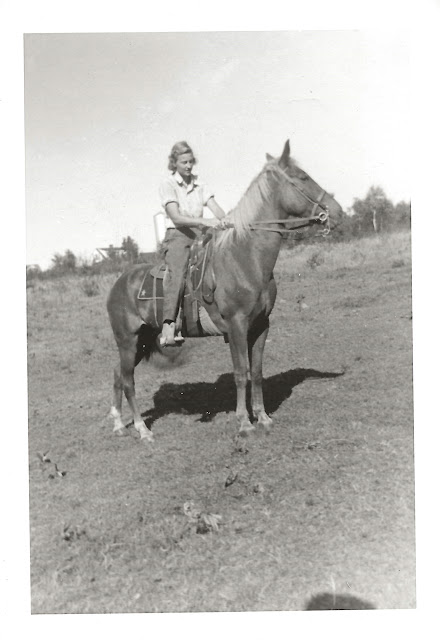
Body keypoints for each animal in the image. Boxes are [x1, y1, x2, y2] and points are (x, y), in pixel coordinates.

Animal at [105, 139, 344, 440]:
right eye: (302, 177)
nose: (338, 212)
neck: (245, 258)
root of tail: (117, 284)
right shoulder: (236, 325)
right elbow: (240, 372)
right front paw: (244, 423)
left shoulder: (261, 325)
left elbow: (257, 372)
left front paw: (263, 417)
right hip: (128, 340)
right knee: (128, 381)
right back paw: (141, 429)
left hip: (142, 340)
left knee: (117, 374)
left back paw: (117, 424)